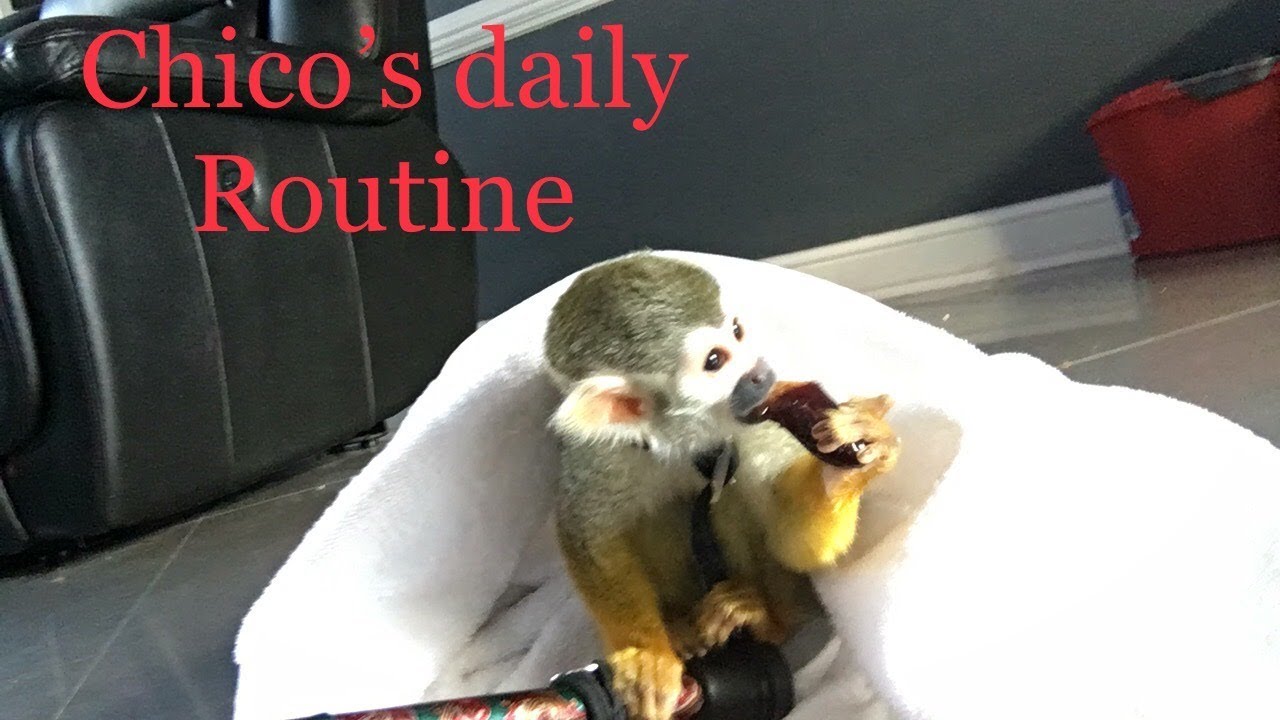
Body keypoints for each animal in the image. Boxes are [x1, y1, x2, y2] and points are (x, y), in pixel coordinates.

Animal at [543, 253, 899, 720]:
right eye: (715, 361)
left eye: (737, 332)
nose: (762, 372)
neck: (686, 436)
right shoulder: (601, 450)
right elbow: (588, 536)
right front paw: (646, 653)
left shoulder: (759, 418)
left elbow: (790, 541)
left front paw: (849, 463)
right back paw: (678, 624)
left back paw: (766, 618)